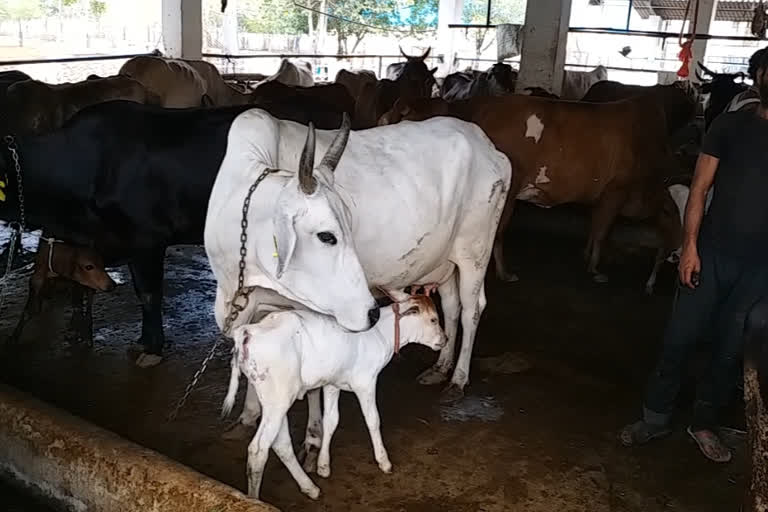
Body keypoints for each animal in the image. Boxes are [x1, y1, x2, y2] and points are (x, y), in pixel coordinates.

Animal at [207, 108, 512, 464]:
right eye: (327, 235)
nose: (369, 311)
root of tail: (486, 144)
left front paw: (313, 440)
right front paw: (248, 415)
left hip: (474, 251)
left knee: (471, 311)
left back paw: (458, 379)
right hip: (444, 261)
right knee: (450, 308)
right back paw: (440, 366)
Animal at [222, 296, 448, 500]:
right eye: (434, 319)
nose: (445, 340)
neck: (381, 334)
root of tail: (249, 331)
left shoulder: (332, 384)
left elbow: (331, 420)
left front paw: (323, 466)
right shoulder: (366, 382)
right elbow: (373, 420)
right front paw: (384, 462)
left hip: (275, 401)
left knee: (281, 444)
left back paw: (310, 488)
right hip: (278, 400)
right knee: (258, 450)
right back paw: (254, 499)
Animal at [380, 94, 680, 286]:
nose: (675, 250)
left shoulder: (605, 198)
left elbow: (596, 228)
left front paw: (587, 258)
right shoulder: (615, 191)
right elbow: (603, 232)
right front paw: (595, 269)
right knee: (498, 233)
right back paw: (504, 273)